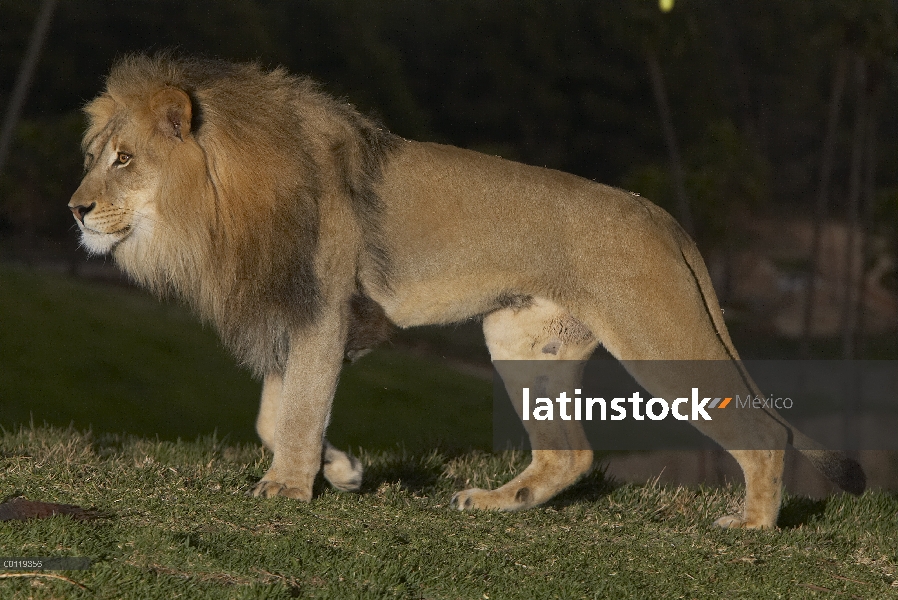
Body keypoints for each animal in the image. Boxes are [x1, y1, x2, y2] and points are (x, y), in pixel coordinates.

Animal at [70, 54, 860, 528]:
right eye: (95, 158)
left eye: (125, 160)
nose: (75, 210)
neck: (215, 203)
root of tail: (664, 218)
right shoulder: (300, 313)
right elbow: (275, 413)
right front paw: (342, 471)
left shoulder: (321, 308)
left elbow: (297, 410)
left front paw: (289, 490)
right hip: (521, 340)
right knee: (569, 455)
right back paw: (496, 501)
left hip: (658, 337)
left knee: (765, 432)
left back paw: (752, 525)